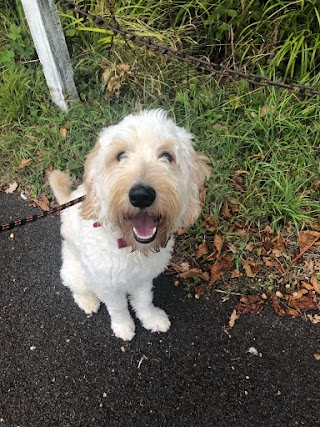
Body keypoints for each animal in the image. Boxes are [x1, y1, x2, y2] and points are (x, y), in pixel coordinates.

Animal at [49, 109, 210, 342]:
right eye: (120, 156)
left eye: (167, 156)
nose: (141, 195)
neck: (128, 246)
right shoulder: (106, 284)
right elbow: (117, 308)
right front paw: (123, 326)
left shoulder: (144, 277)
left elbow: (144, 300)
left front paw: (150, 318)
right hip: (78, 273)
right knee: (76, 287)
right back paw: (87, 301)